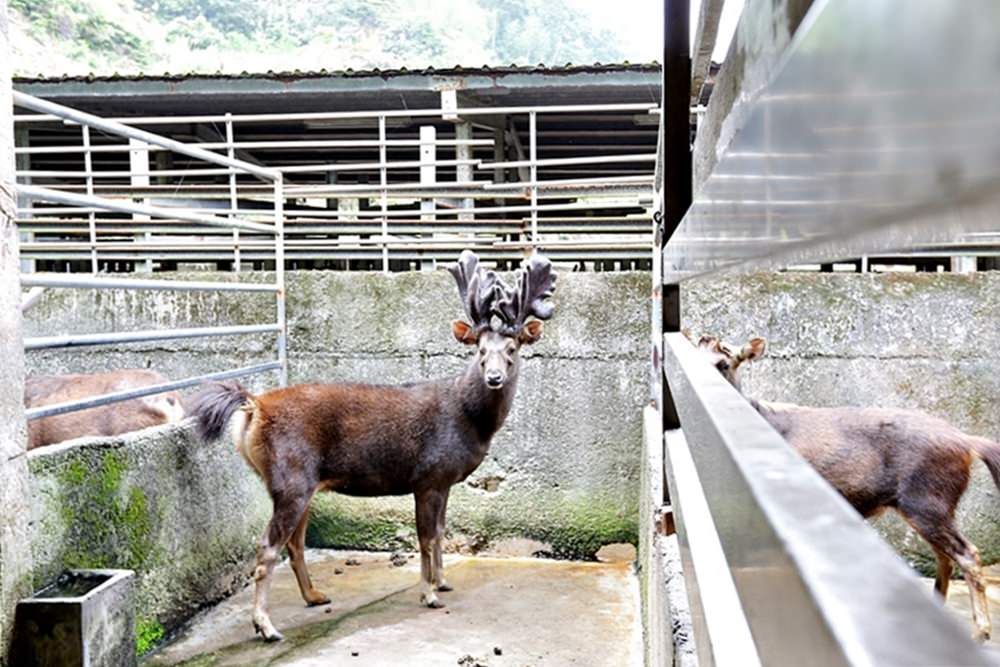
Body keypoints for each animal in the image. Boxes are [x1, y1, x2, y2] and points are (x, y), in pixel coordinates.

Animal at [191, 250, 560, 640]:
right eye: (480, 349)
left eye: (512, 348)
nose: (494, 377)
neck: (467, 418)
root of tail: (255, 405)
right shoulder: (429, 475)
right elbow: (426, 537)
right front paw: (429, 594)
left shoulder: (444, 480)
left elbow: (441, 532)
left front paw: (443, 582)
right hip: (290, 476)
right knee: (267, 546)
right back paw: (266, 625)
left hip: (300, 483)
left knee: (294, 542)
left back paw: (315, 596)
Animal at [692, 334, 1000, 640]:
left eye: (725, 362)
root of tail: (968, 442)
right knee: (944, 555)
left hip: (927, 499)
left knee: (967, 553)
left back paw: (981, 632)